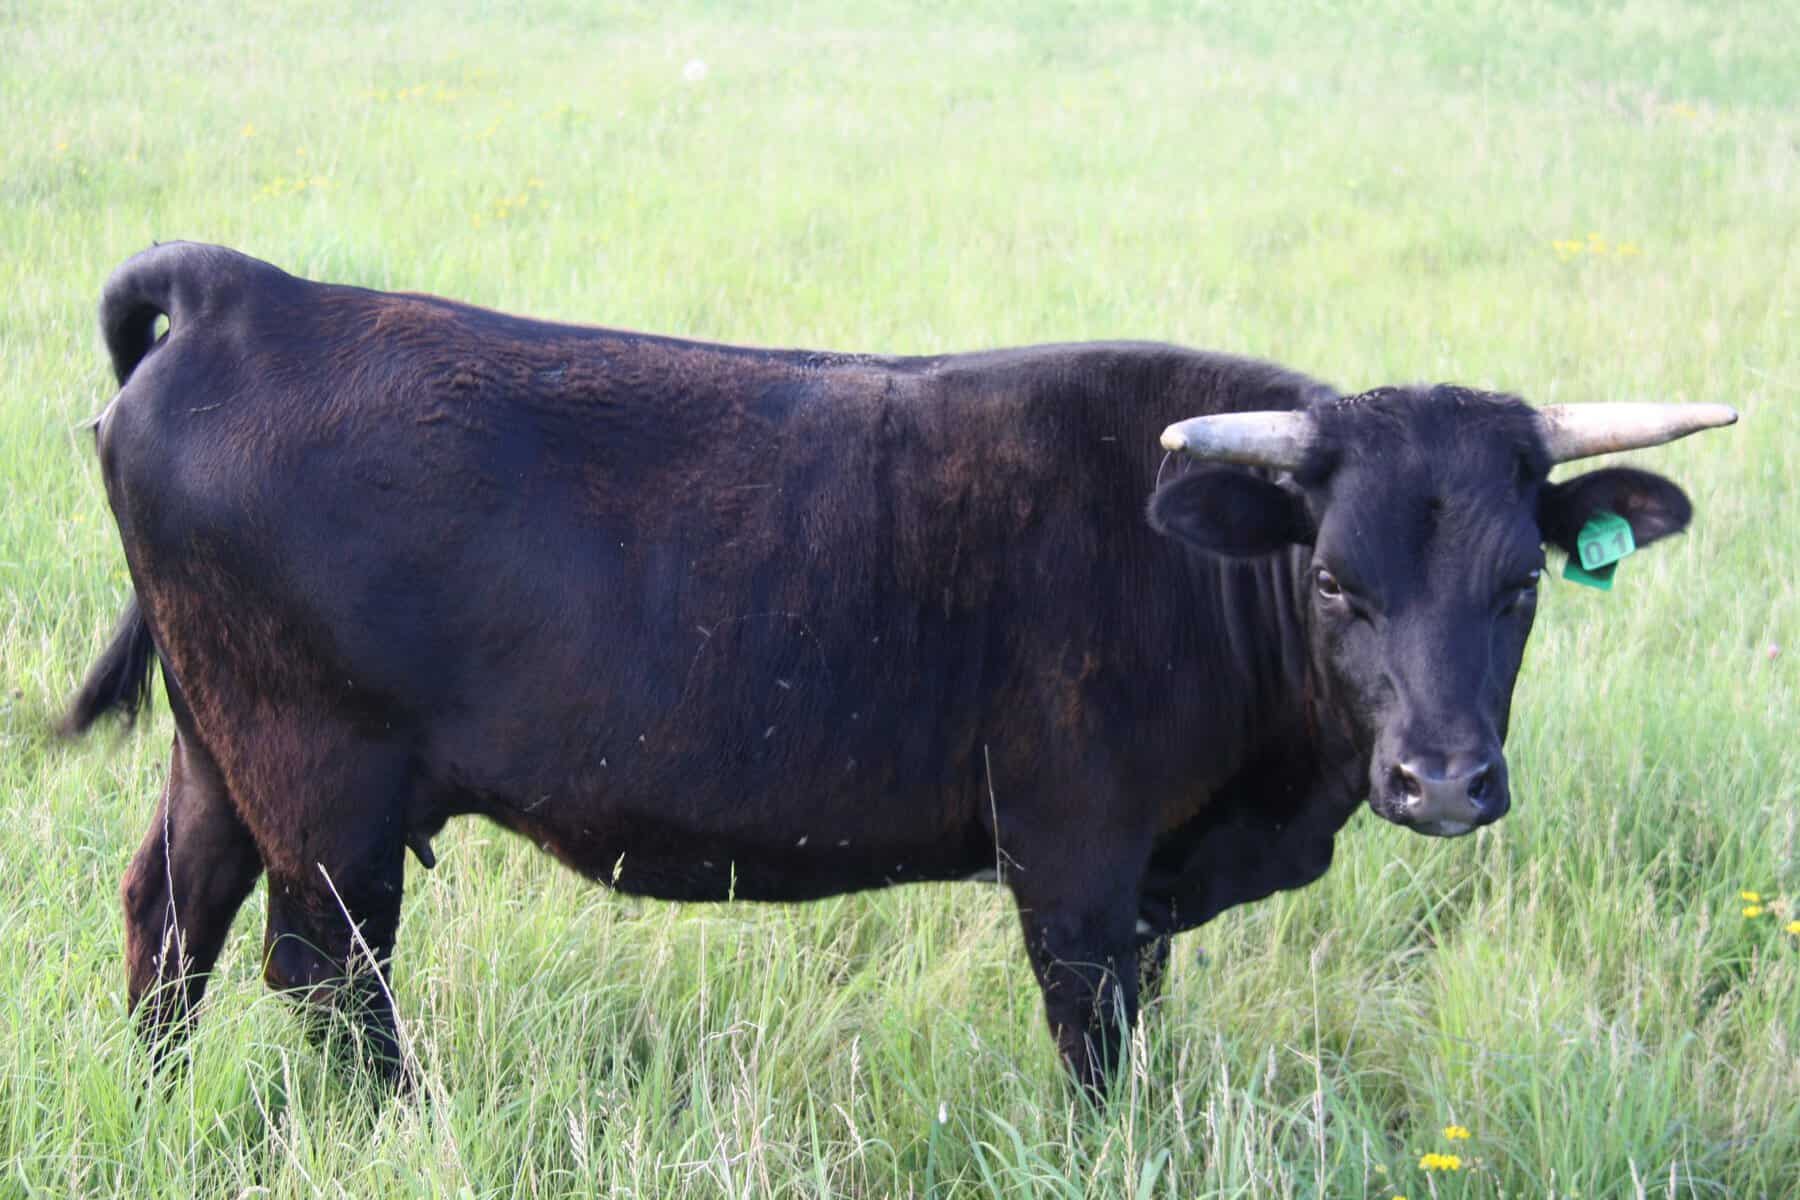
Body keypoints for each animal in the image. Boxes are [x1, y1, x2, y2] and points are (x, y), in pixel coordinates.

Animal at [61, 242, 1735, 1094]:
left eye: (1521, 585)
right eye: (1337, 578)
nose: (1443, 781)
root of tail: (251, 289)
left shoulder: (1146, 880)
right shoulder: (1072, 856)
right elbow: (1097, 1051)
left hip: (221, 753)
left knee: (172, 919)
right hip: (321, 782)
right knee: (323, 977)